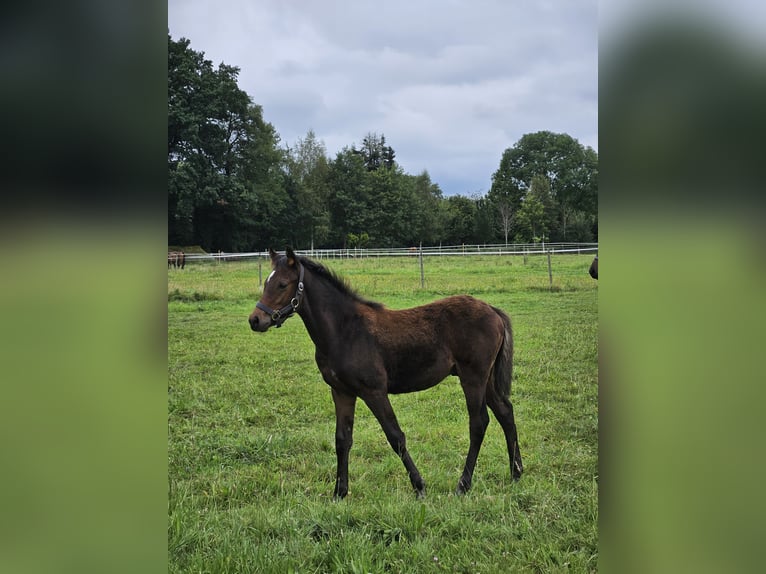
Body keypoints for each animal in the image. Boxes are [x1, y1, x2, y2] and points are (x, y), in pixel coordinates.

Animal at [249, 248, 524, 500]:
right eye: (266, 282)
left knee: (479, 422)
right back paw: (516, 472)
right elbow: (342, 440)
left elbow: (396, 437)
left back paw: (463, 485)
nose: (255, 320)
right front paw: (339, 492)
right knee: (505, 412)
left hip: (473, 377)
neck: (345, 330)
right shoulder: (342, 391)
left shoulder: (374, 391)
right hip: (486, 378)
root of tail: (493, 310)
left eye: (282, 284)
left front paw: (419, 487)